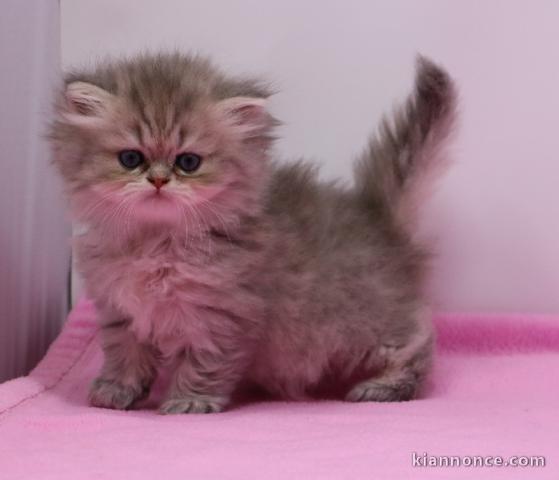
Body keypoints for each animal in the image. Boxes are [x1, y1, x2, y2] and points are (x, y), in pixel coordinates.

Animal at [50, 51, 458, 412]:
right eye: (131, 159)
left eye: (188, 162)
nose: (159, 181)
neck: (156, 243)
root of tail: (377, 216)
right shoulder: (120, 311)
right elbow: (125, 355)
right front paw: (117, 390)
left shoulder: (222, 316)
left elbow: (204, 365)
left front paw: (190, 400)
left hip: (363, 324)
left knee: (418, 343)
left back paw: (384, 387)